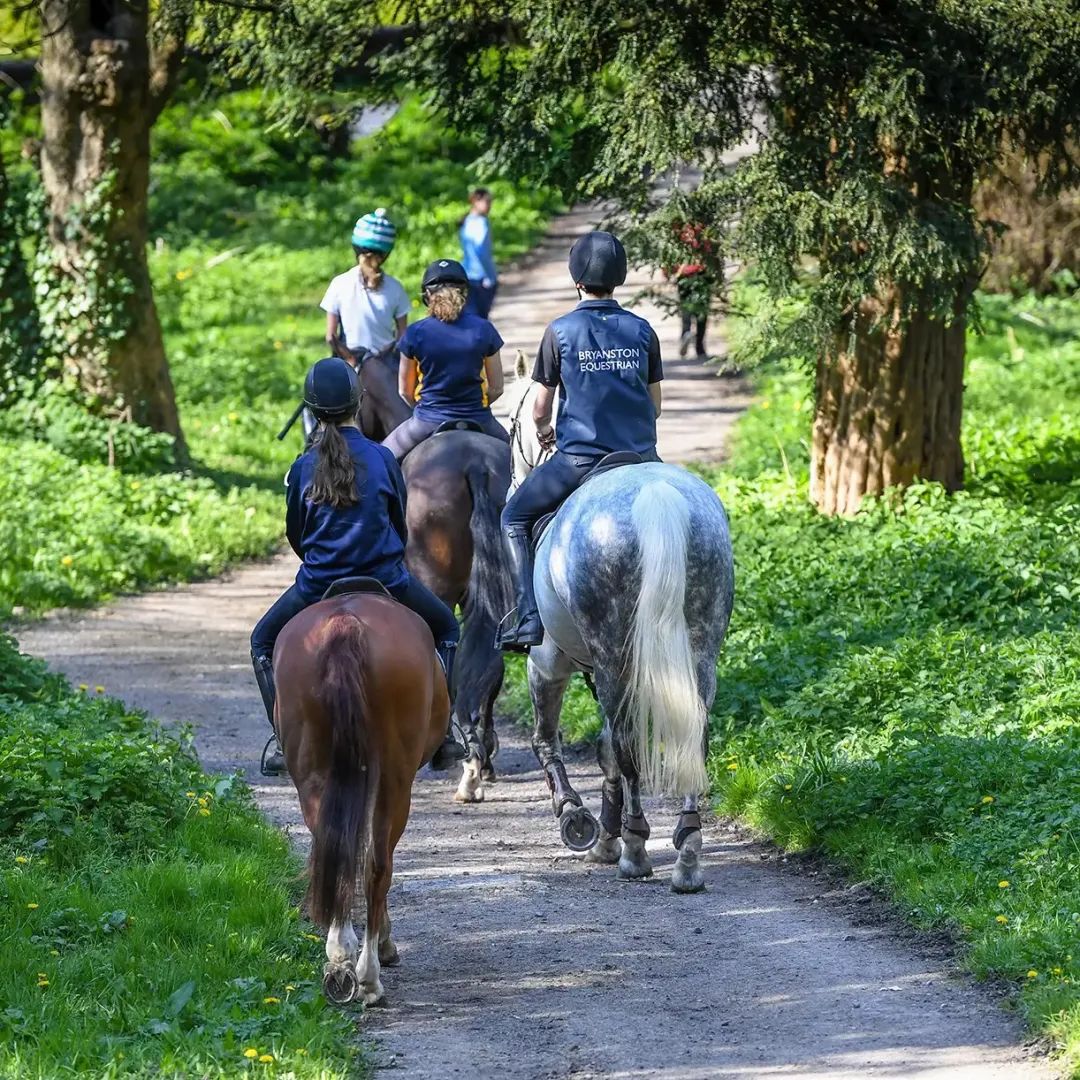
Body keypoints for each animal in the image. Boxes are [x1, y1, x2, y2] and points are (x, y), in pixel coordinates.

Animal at [278, 587, 451, 1006]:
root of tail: (347, 624)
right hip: (395, 780)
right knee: (377, 864)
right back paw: (370, 974)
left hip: (314, 773)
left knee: (333, 849)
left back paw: (339, 961)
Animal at [505, 371, 734, 894]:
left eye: (510, 421)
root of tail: (654, 496)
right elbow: (604, 748)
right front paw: (604, 835)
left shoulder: (546, 662)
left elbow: (550, 740)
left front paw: (579, 819)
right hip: (698, 649)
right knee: (693, 735)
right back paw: (687, 855)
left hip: (609, 656)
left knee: (628, 747)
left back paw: (635, 848)